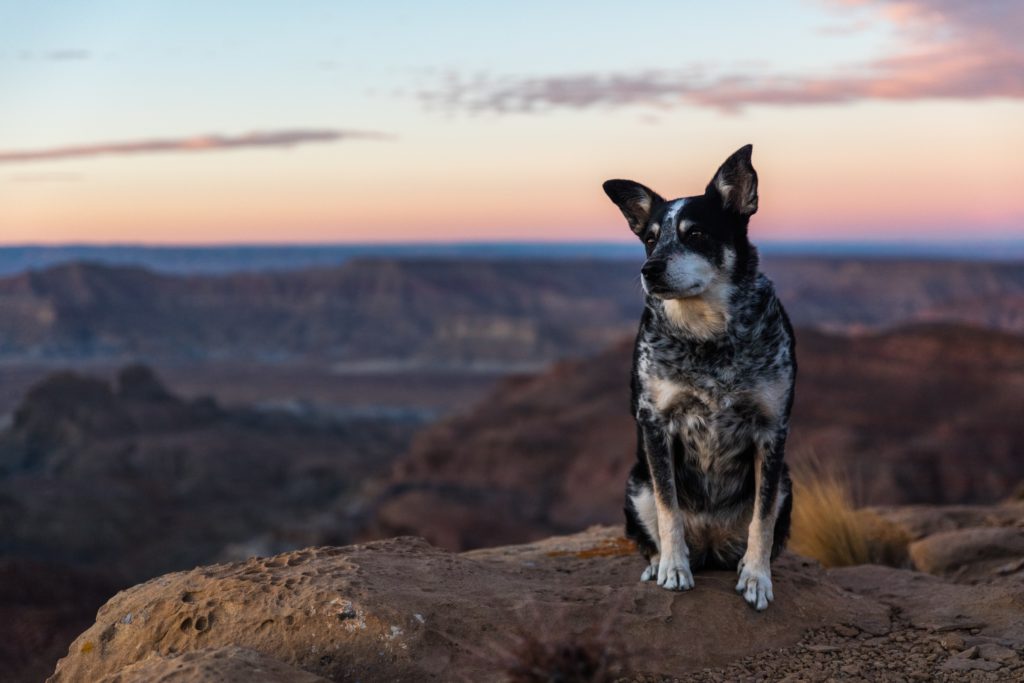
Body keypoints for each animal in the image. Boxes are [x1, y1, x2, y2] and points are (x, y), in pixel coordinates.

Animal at [602, 145, 794, 614]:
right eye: (650, 238)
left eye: (696, 234)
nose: (649, 269)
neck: (709, 336)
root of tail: (710, 544)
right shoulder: (656, 422)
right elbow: (668, 507)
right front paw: (673, 568)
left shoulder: (771, 429)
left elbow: (762, 519)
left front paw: (757, 577)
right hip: (636, 482)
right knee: (652, 527)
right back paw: (662, 562)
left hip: (786, 481)